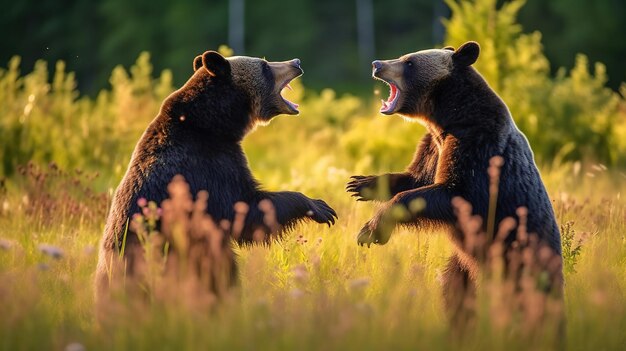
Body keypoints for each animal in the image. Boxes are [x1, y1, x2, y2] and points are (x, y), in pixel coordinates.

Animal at [95, 51, 336, 306]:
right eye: (264, 66)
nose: (296, 63)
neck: (214, 124)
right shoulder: (208, 166)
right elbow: (245, 207)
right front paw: (320, 207)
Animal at [344, 41, 564, 330]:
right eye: (403, 57)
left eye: (409, 62)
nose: (377, 64)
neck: (447, 117)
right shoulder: (434, 146)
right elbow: (417, 177)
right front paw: (361, 184)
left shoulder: (477, 146)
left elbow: (452, 192)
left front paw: (370, 230)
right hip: (464, 263)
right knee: (455, 289)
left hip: (520, 255)